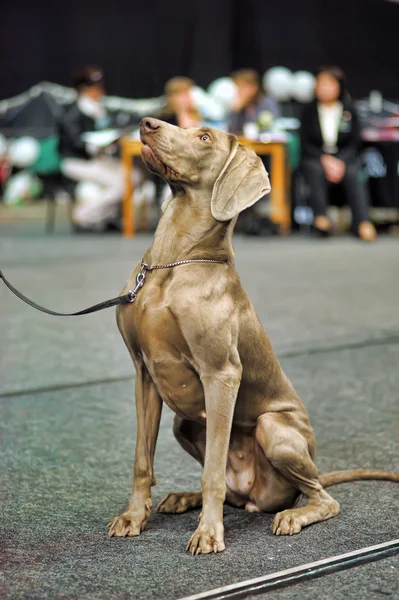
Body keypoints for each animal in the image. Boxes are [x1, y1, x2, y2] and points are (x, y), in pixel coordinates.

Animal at [108, 119, 398, 556]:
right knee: (231, 490)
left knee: (322, 498)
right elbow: (143, 460)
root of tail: (255, 496)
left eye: (205, 137)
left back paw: (291, 515)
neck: (172, 262)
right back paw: (184, 498)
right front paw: (133, 517)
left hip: (273, 428)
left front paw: (209, 532)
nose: (147, 123)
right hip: (183, 423)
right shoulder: (144, 372)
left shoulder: (221, 374)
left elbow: (212, 470)